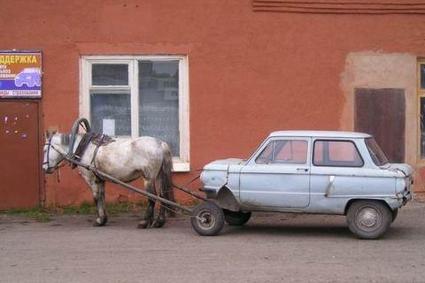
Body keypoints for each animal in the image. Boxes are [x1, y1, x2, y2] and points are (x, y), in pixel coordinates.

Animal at [42, 132, 174, 230]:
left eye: (44, 150)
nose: (44, 168)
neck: (85, 149)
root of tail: (160, 144)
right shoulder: (100, 179)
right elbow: (102, 197)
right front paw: (104, 219)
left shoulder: (91, 180)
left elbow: (96, 198)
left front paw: (99, 220)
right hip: (158, 176)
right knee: (163, 196)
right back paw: (159, 222)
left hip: (148, 178)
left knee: (152, 198)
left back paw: (144, 222)